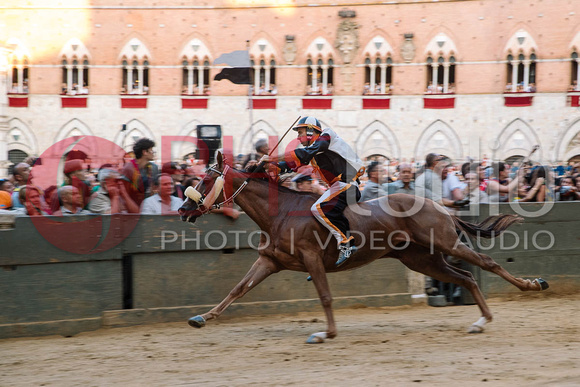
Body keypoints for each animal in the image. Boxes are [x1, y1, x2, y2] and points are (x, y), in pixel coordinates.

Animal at [178, 153, 548, 344]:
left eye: (205, 181)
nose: (183, 209)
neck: (280, 212)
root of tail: (438, 205)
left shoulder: (312, 259)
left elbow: (325, 296)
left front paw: (326, 333)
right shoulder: (269, 261)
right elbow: (237, 289)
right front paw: (202, 317)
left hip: (444, 242)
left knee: (485, 263)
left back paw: (532, 285)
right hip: (422, 259)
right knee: (466, 278)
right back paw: (480, 321)